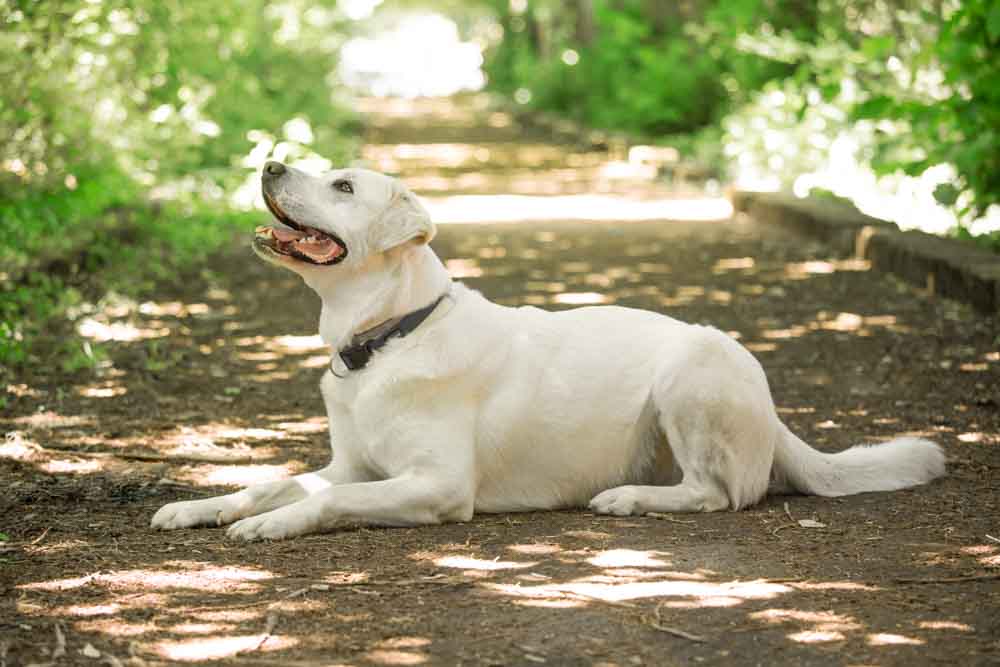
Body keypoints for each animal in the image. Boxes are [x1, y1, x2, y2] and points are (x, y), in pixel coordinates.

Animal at [150, 162, 944, 544]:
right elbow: (273, 481)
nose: (271, 160)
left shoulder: (438, 484)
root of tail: (773, 411)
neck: (390, 333)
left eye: (342, 184)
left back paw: (628, 498)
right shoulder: (349, 464)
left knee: (719, 493)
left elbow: (325, 500)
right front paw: (202, 506)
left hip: (692, 372)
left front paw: (270, 525)